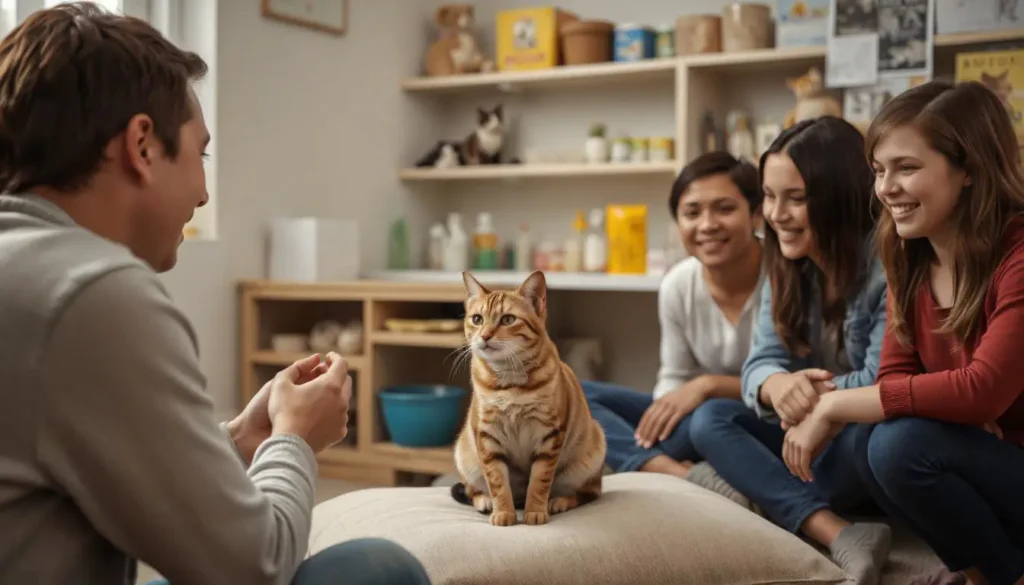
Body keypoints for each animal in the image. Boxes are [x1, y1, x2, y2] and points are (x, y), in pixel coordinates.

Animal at [450, 270, 606, 524]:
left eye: (507, 319)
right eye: (477, 319)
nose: (485, 336)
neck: (509, 382)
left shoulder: (549, 436)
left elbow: (539, 482)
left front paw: (535, 511)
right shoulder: (486, 437)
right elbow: (497, 482)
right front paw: (503, 513)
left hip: (589, 457)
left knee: (589, 493)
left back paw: (559, 501)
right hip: (465, 455)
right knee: (471, 490)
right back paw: (485, 501)